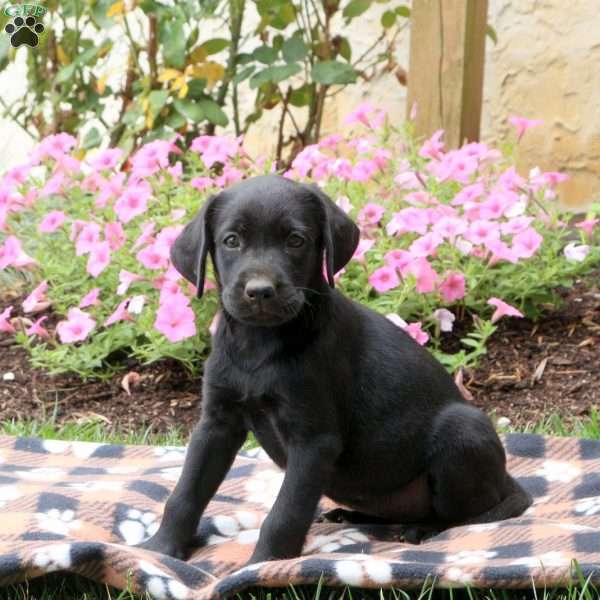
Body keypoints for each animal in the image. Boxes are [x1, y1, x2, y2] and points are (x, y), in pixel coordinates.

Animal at [139, 173, 528, 564]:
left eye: (296, 240)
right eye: (231, 240)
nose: (260, 291)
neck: (258, 347)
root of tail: (506, 479)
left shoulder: (314, 441)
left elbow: (286, 512)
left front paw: (263, 564)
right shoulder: (217, 423)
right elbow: (185, 493)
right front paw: (160, 550)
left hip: (462, 430)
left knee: (467, 515)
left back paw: (423, 530)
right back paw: (350, 515)